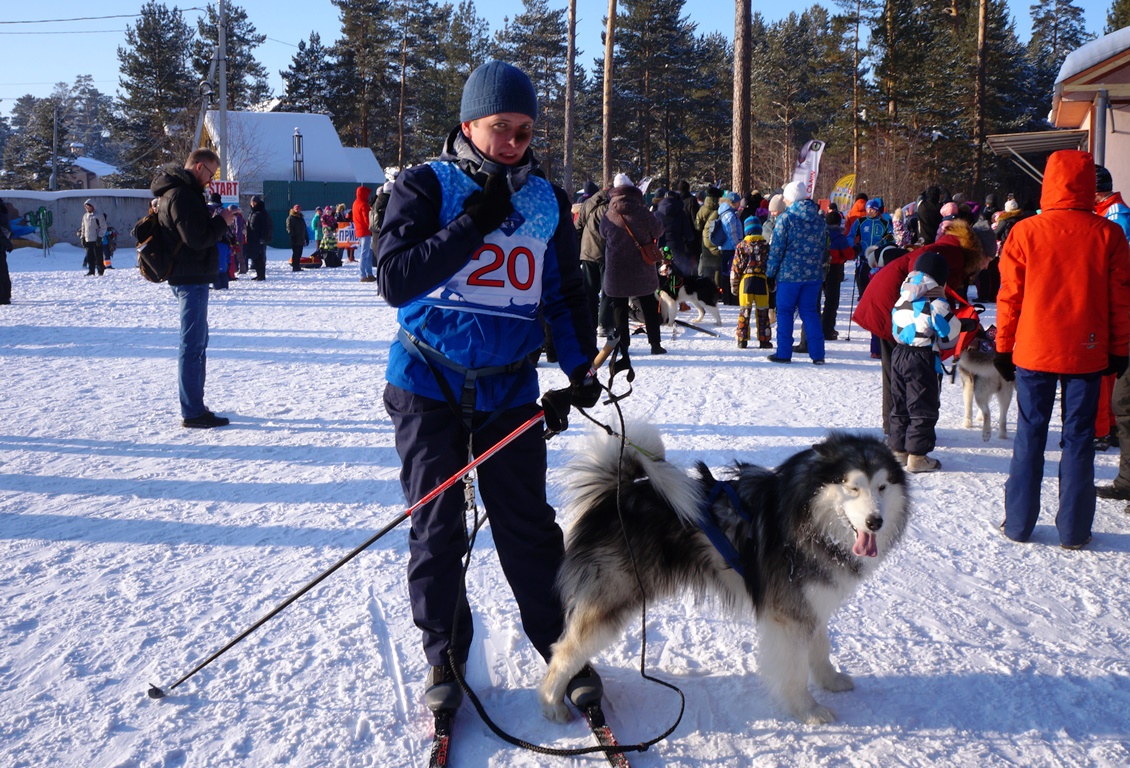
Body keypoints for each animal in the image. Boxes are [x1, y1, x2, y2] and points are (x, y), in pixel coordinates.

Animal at [537, 429, 908, 722]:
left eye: (882, 486)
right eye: (852, 488)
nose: (875, 522)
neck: (808, 517)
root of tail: (614, 493)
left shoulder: (810, 601)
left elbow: (820, 648)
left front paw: (830, 681)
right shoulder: (787, 615)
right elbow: (794, 670)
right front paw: (807, 710)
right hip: (611, 597)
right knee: (563, 650)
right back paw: (552, 704)